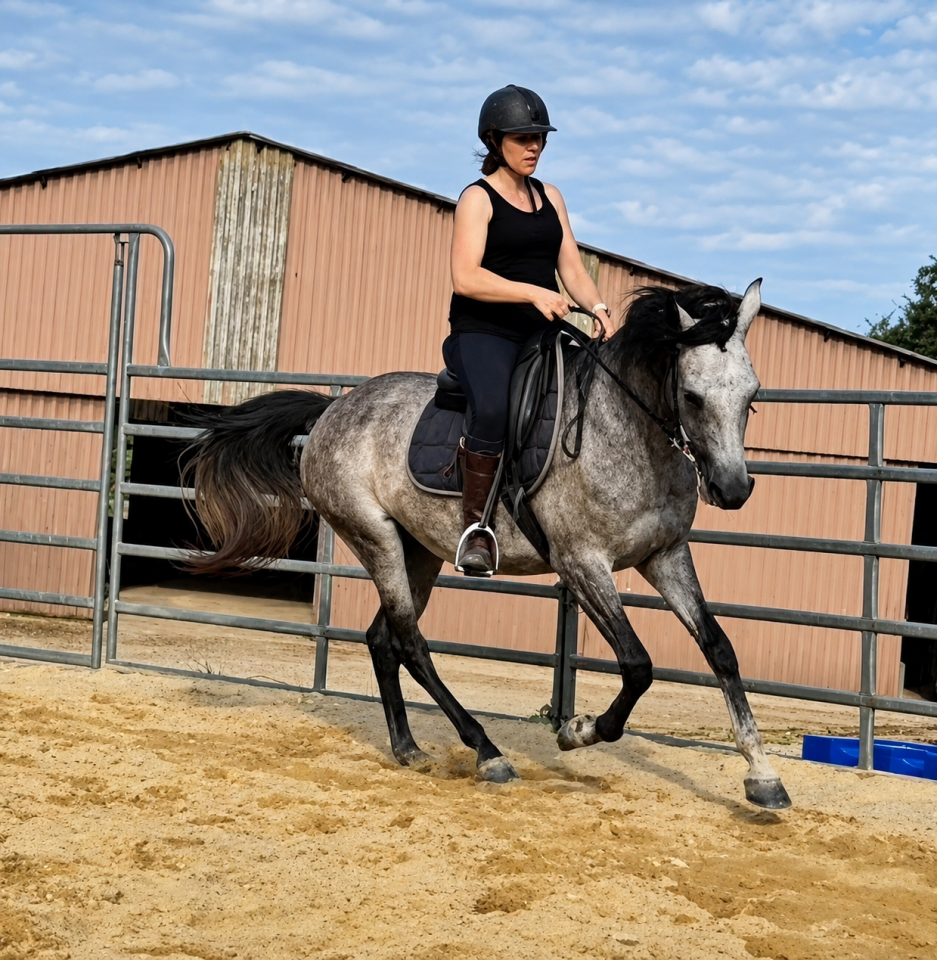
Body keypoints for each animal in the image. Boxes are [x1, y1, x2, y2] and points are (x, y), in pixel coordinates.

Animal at [183, 279, 792, 810]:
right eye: (691, 395)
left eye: (753, 394)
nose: (733, 489)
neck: (624, 433)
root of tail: (335, 408)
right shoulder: (582, 564)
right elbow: (638, 664)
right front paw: (577, 731)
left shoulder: (664, 557)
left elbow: (719, 648)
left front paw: (762, 776)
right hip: (375, 538)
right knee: (410, 643)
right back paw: (487, 752)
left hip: (419, 551)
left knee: (383, 638)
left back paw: (409, 748)